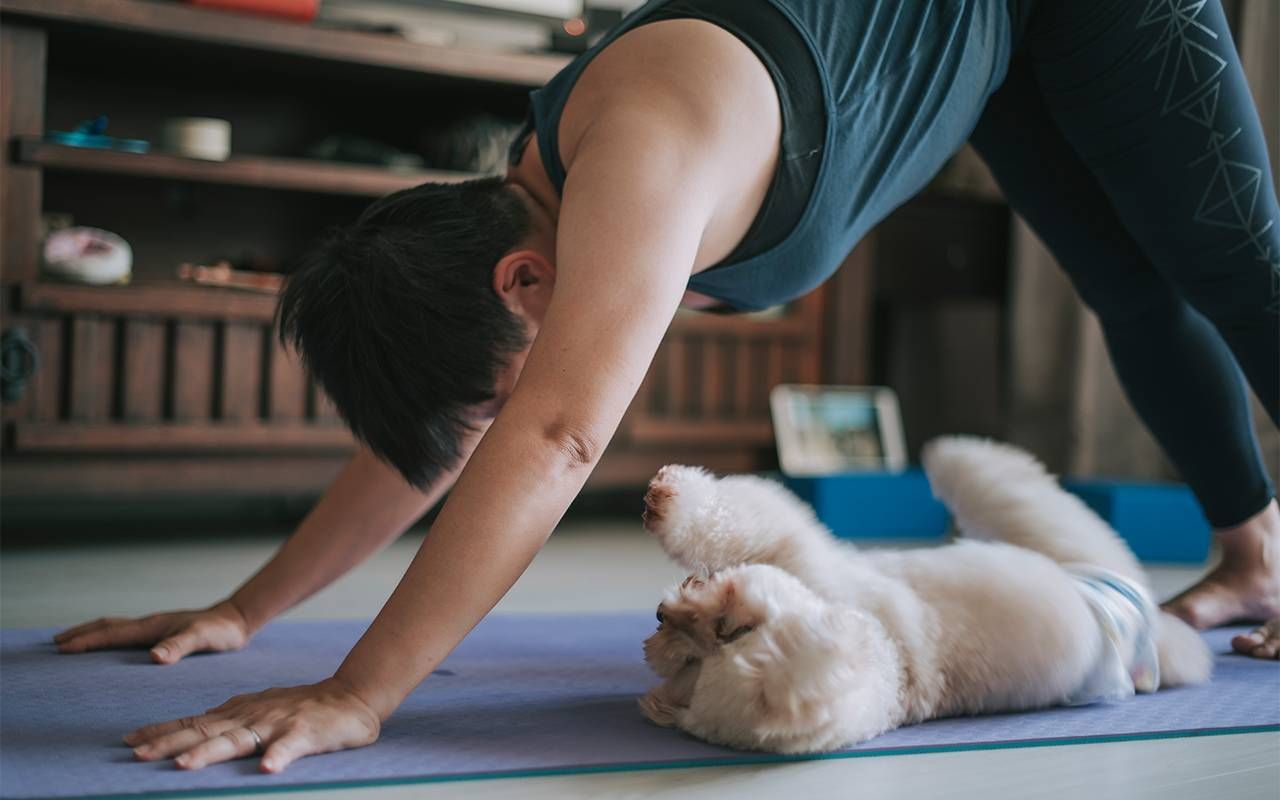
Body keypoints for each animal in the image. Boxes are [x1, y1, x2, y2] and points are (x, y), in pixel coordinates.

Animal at [640, 440, 1208, 752]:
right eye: (690, 665)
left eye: (729, 629)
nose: (661, 616)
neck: (892, 662)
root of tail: (1147, 639)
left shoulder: (804, 558)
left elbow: (743, 521)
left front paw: (671, 502)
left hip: (1087, 557)